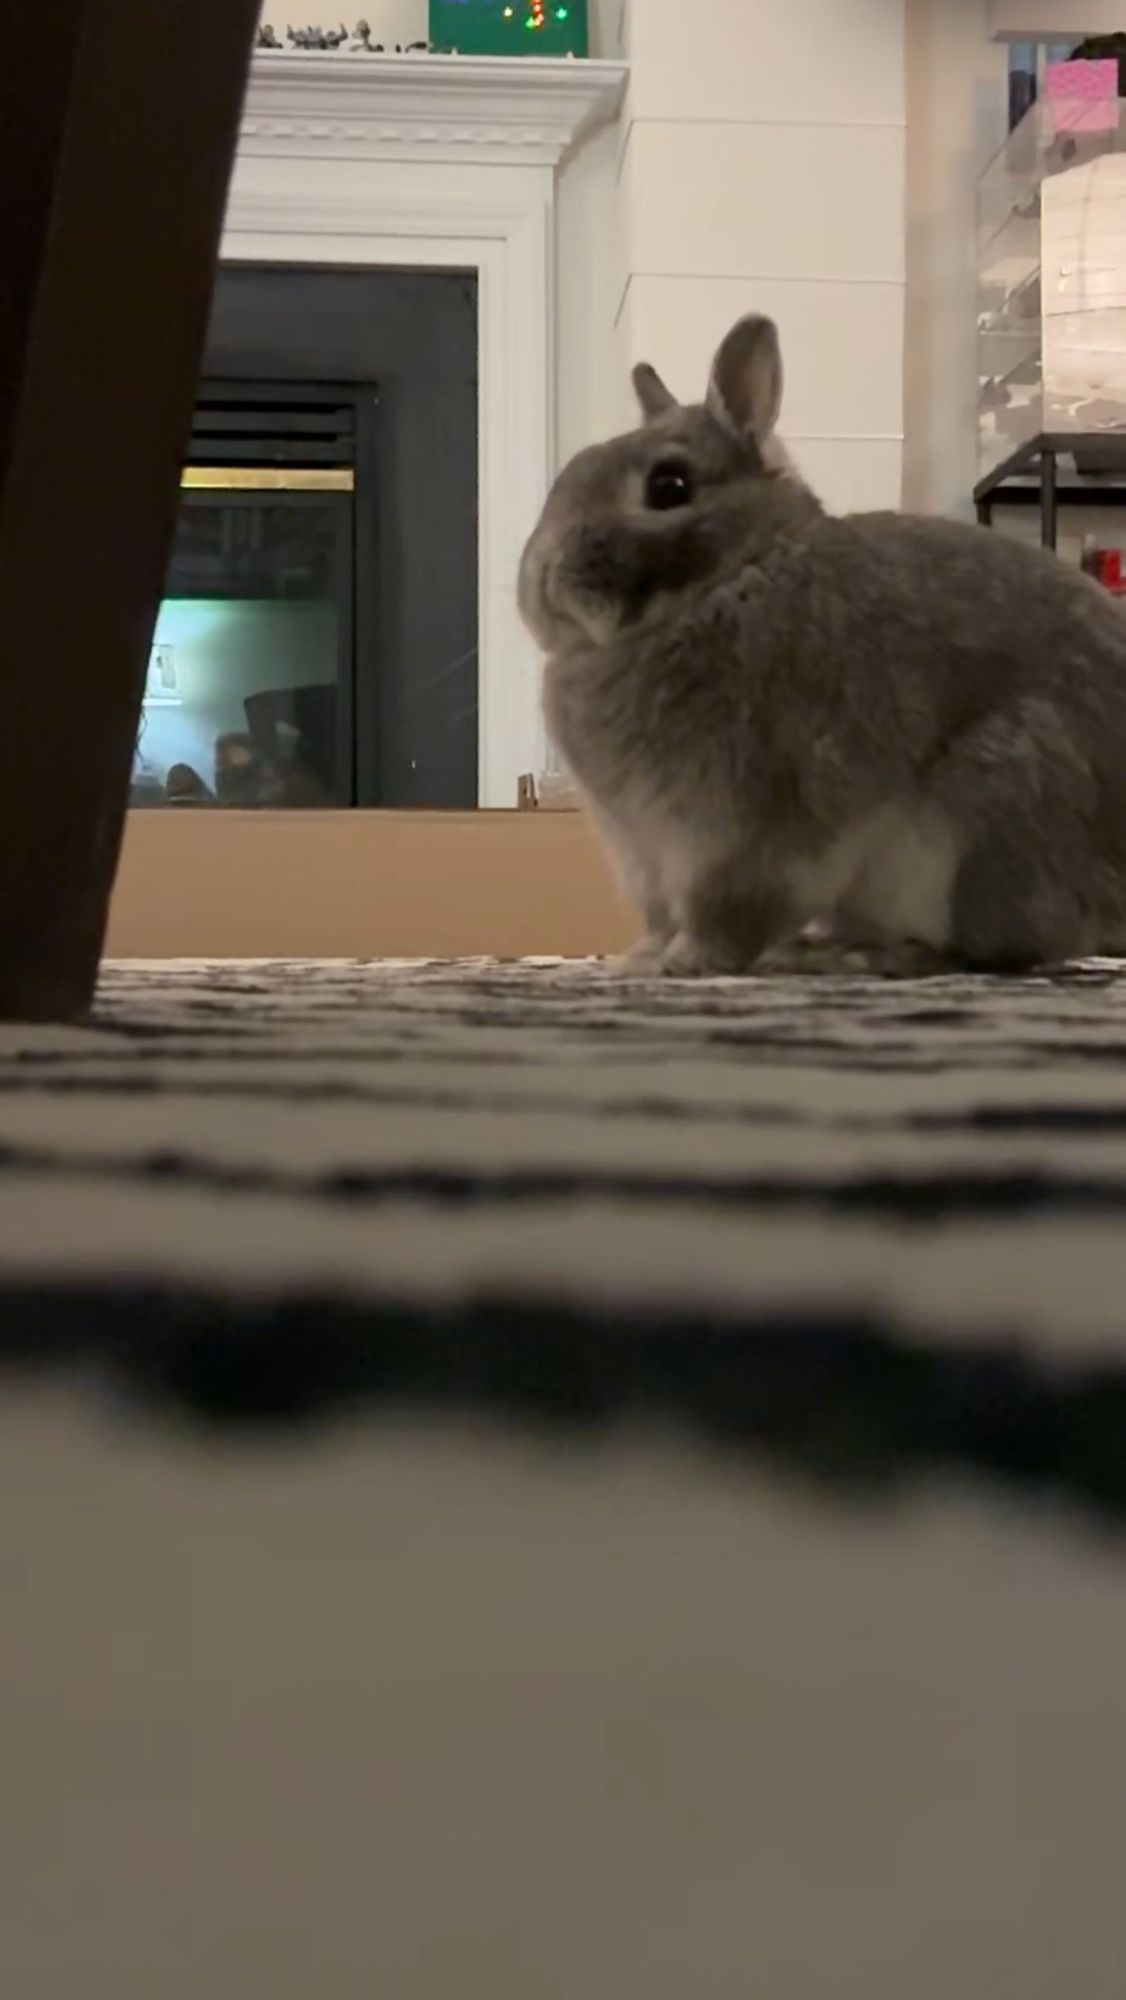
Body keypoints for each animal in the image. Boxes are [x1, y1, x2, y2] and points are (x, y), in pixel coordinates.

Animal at [524, 312, 1126, 976]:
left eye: (669, 485)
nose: (543, 580)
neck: (733, 575)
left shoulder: (743, 833)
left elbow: (725, 912)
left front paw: (685, 962)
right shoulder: (644, 853)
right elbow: (661, 917)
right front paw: (638, 958)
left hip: (990, 807)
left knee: (999, 951)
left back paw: (856, 956)